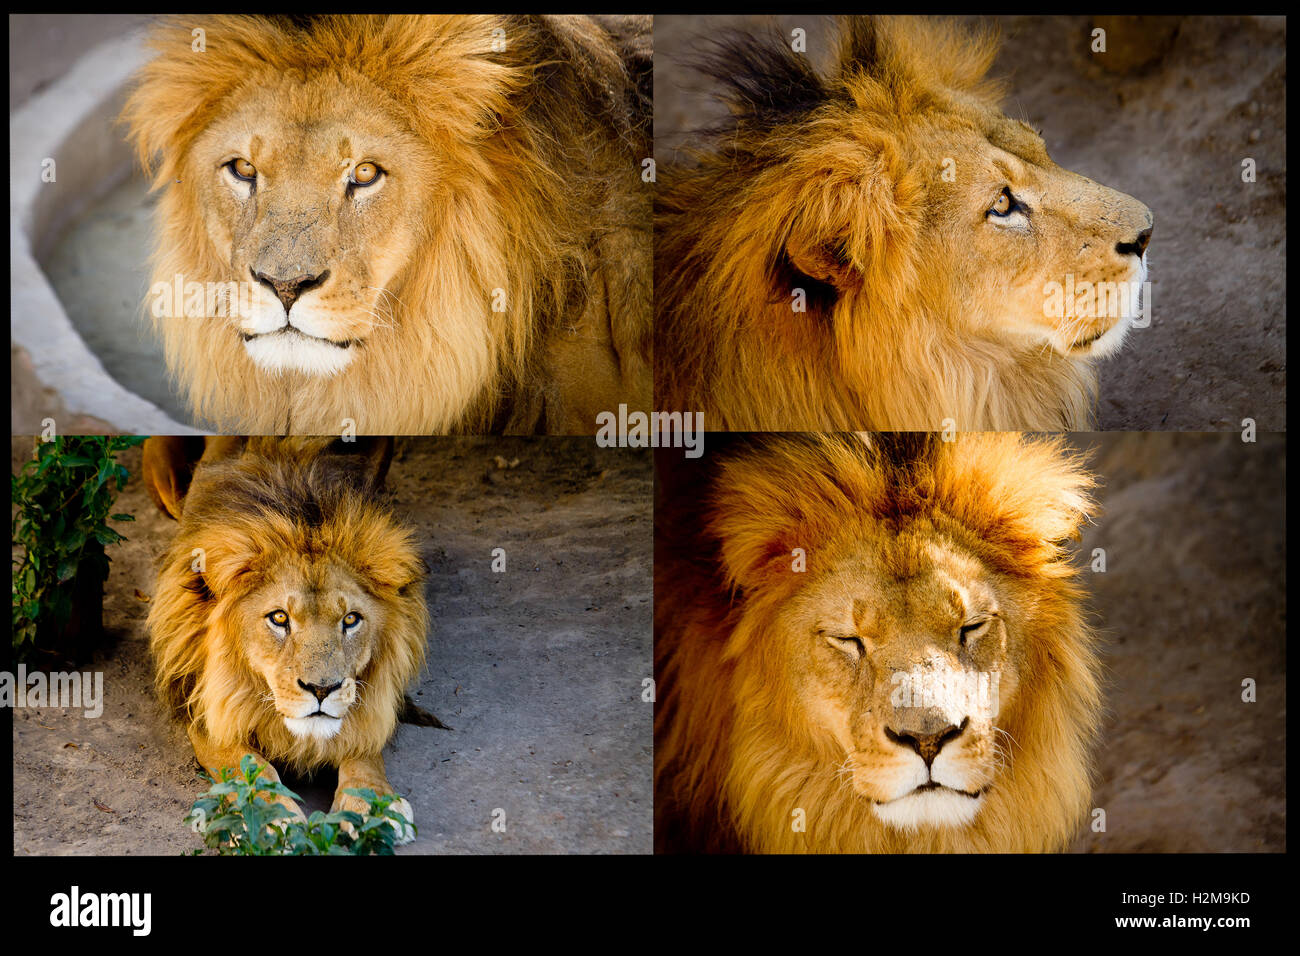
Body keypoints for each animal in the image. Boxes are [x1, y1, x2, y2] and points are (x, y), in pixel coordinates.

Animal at [145, 436, 428, 842]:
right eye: (279, 618)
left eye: (351, 620)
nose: (322, 689)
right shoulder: (201, 706)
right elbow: (249, 762)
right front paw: (267, 815)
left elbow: (364, 749)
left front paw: (372, 804)